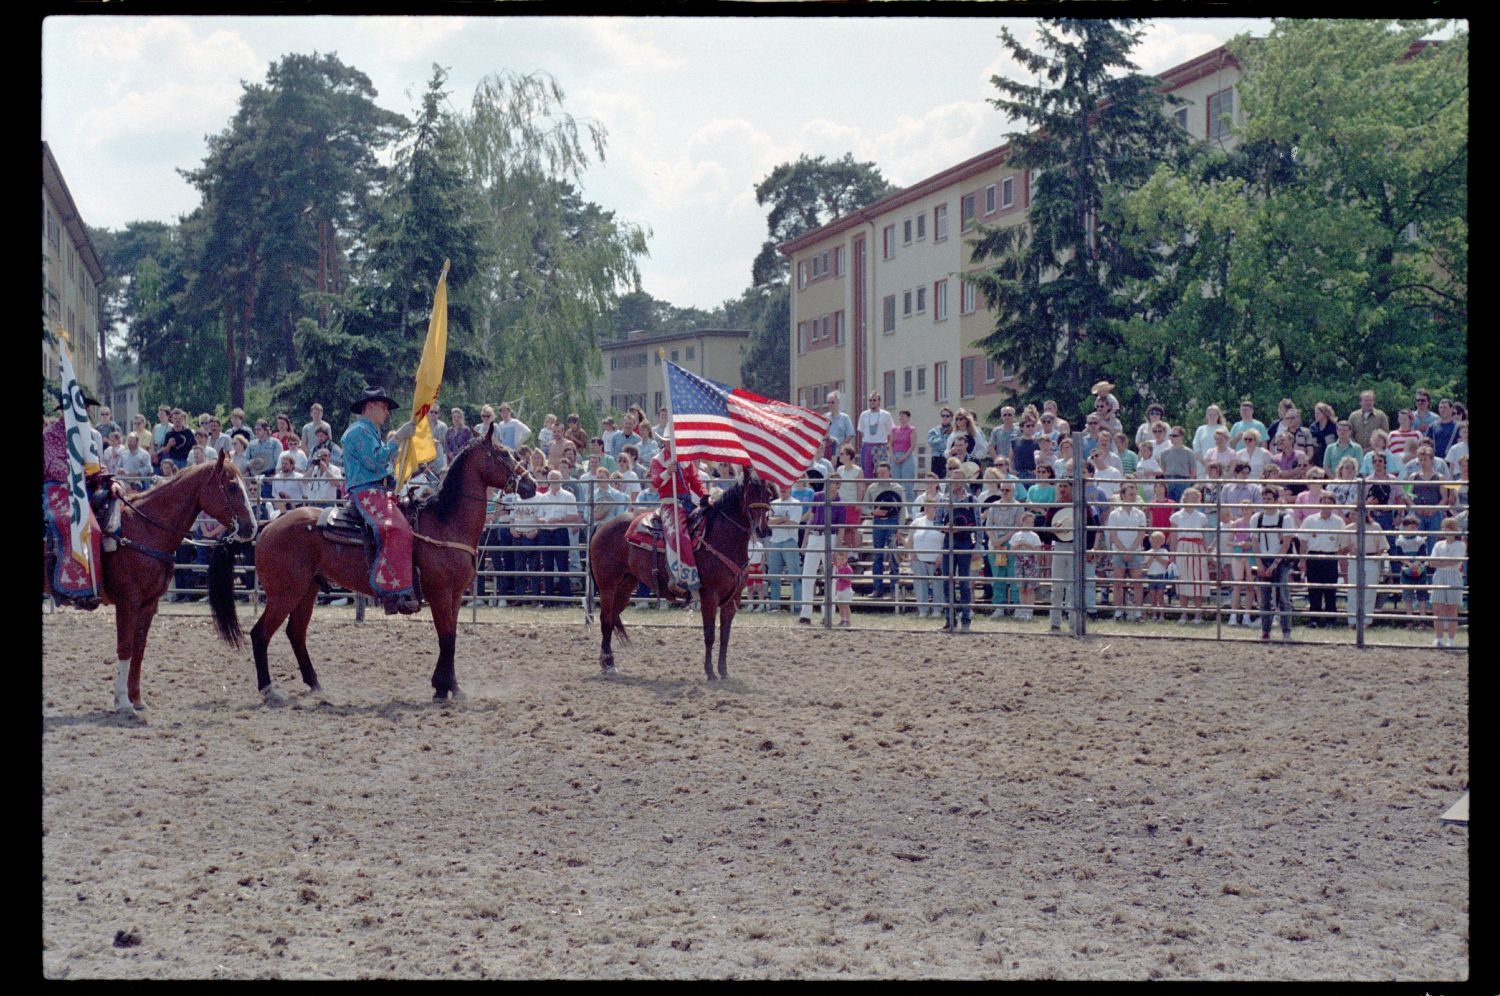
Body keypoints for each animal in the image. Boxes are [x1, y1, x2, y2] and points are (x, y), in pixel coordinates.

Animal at [73, 450, 261, 717]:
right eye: (233, 486)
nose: (251, 528)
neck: (145, 529)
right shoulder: (128, 602)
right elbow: (125, 647)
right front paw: (123, 703)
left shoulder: (148, 604)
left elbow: (139, 649)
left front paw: (137, 699)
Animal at [210, 423, 540, 705]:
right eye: (503, 454)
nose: (532, 484)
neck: (446, 523)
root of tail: (266, 529)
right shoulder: (441, 593)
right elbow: (447, 638)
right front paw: (444, 689)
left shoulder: (455, 595)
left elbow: (450, 638)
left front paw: (449, 687)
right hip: (285, 593)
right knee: (260, 634)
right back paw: (269, 690)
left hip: (306, 591)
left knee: (296, 633)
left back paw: (316, 685)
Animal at [585, 471, 774, 681]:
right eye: (749, 494)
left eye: (768, 494)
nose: (763, 529)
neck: (722, 540)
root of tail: (602, 526)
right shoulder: (709, 597)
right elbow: (710, 635)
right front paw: (710, 672)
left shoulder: (733, 599)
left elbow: (725, 636)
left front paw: (724, 671)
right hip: (607, 586)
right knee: (605, 620)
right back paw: (608, 663)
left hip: (626, 585)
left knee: (612, 617)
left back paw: (607, 662)